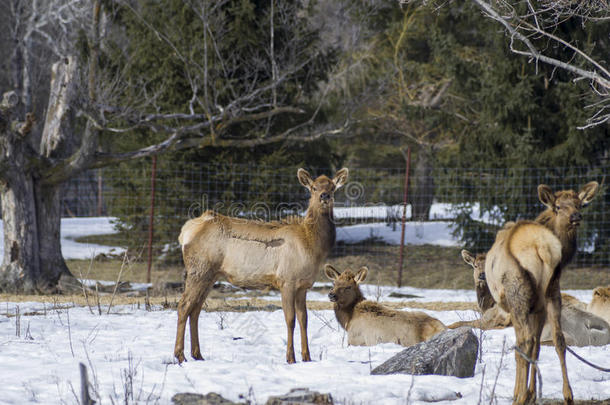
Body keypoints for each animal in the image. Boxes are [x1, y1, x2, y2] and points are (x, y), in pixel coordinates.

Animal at [173, 167, 350, 362]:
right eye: (313, 188)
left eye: (332, 187)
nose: (325, 196)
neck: (312, 246)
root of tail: (185, 232)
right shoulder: (286, 280)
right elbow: (290, 319)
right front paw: (290, 358)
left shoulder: (304, 285)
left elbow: (304, 319)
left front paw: (307, 357)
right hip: (199, 270)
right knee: (183, 306)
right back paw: (180, 355)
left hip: (210, 275)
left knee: (196, 310)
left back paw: (197, 355)